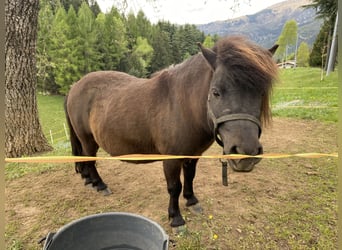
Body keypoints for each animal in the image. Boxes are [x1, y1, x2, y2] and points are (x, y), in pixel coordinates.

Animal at [65, 36, 278, 229]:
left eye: (261, 93)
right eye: (216, 92)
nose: (245, 154)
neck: (182, 106)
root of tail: (75, 86)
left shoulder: (193, 154)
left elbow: (190, 177)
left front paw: (192, 201)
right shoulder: (171, 159)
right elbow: (174, 187)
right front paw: (176, 218)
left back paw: (89, 180)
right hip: (88, 139)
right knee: (89, 159)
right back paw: (99, 184)